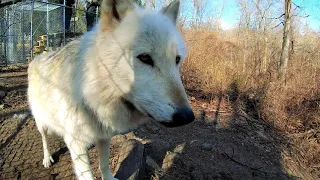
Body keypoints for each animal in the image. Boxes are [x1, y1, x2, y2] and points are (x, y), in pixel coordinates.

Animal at [27, 0, 194, 179]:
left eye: (177, 59)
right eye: (144, 57)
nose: (187, 117)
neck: (94, 94)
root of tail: (37, 58)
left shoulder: (104, 136)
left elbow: (104, 164)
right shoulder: (76, 144)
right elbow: (87, 174)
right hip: (42, 123)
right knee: (44, 139)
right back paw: (47, 159)